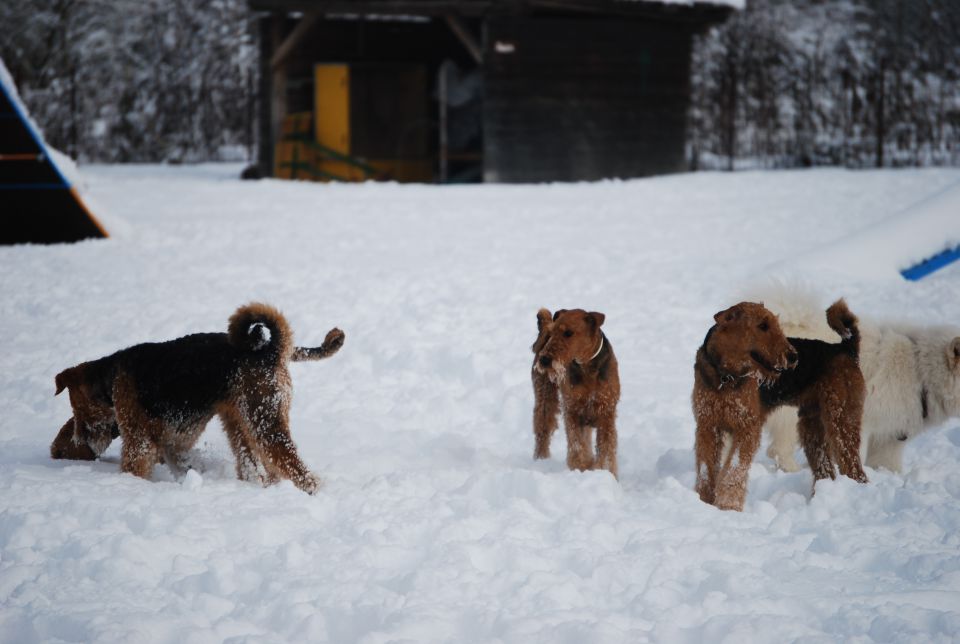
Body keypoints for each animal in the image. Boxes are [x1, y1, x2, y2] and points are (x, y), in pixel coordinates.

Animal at [50, 304, 344, 496]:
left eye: (77, 409)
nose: (80, 441)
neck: (109, 377)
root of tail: (268, 349)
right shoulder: (173, 442)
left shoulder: (138, 438)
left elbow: (134, 465)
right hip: (240, 421)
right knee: (259, 465)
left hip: (264, 419)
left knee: (295, 466)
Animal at [528, 306, 620, 478]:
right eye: (554, 333)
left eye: (569, 333)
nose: (544, 360)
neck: (587, 367)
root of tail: (545, 326)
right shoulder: (572, 411)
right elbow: (577, 447)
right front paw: (581, 469)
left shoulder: (606, 412)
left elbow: (605, 450)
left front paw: (604, 471)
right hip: (545, 398)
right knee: (542, 431)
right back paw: (540, 460)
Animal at [692, 300, 868, 510]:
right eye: (762, 326)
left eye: (775, 324)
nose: (793, 357)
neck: (725, 377)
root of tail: (846, 348)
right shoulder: (707, 426)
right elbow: (706, 469)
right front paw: (703, 501)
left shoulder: (747, 427)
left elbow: (734, 469)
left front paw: (728, 506)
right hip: (812, 428)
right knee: (825, 469)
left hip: (841, 420)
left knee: (854, 467)